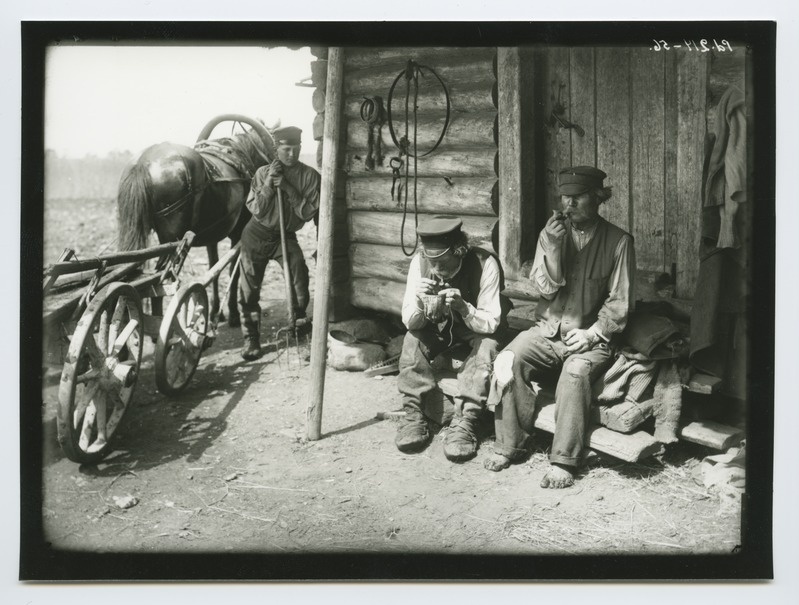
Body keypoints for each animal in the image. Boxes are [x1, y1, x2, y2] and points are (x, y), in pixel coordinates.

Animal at [114, 114, 274, 326]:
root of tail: (143, 162)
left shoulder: (213, 238)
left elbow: (214, 268)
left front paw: (215, 312)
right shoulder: (238, 234)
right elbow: (233, 271)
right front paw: (232, 314)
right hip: (172, 242)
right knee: (160, 282)